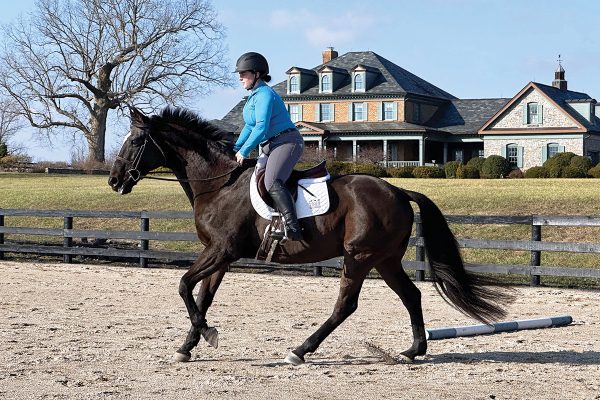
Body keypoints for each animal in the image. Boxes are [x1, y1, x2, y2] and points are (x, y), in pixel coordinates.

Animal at [109, 107, 510, 366]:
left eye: (136, 141)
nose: (114, 181)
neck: (218, 184)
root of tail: (397, 189)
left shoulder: (223, 250)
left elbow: (182, 285)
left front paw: (206, 334)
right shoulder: (218, 255)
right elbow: (202, 296)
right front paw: (190, 344)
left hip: (359, 257)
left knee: (346, 305)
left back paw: (299, 351)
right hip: (385, 259)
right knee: (410, 295)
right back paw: (413, 350)